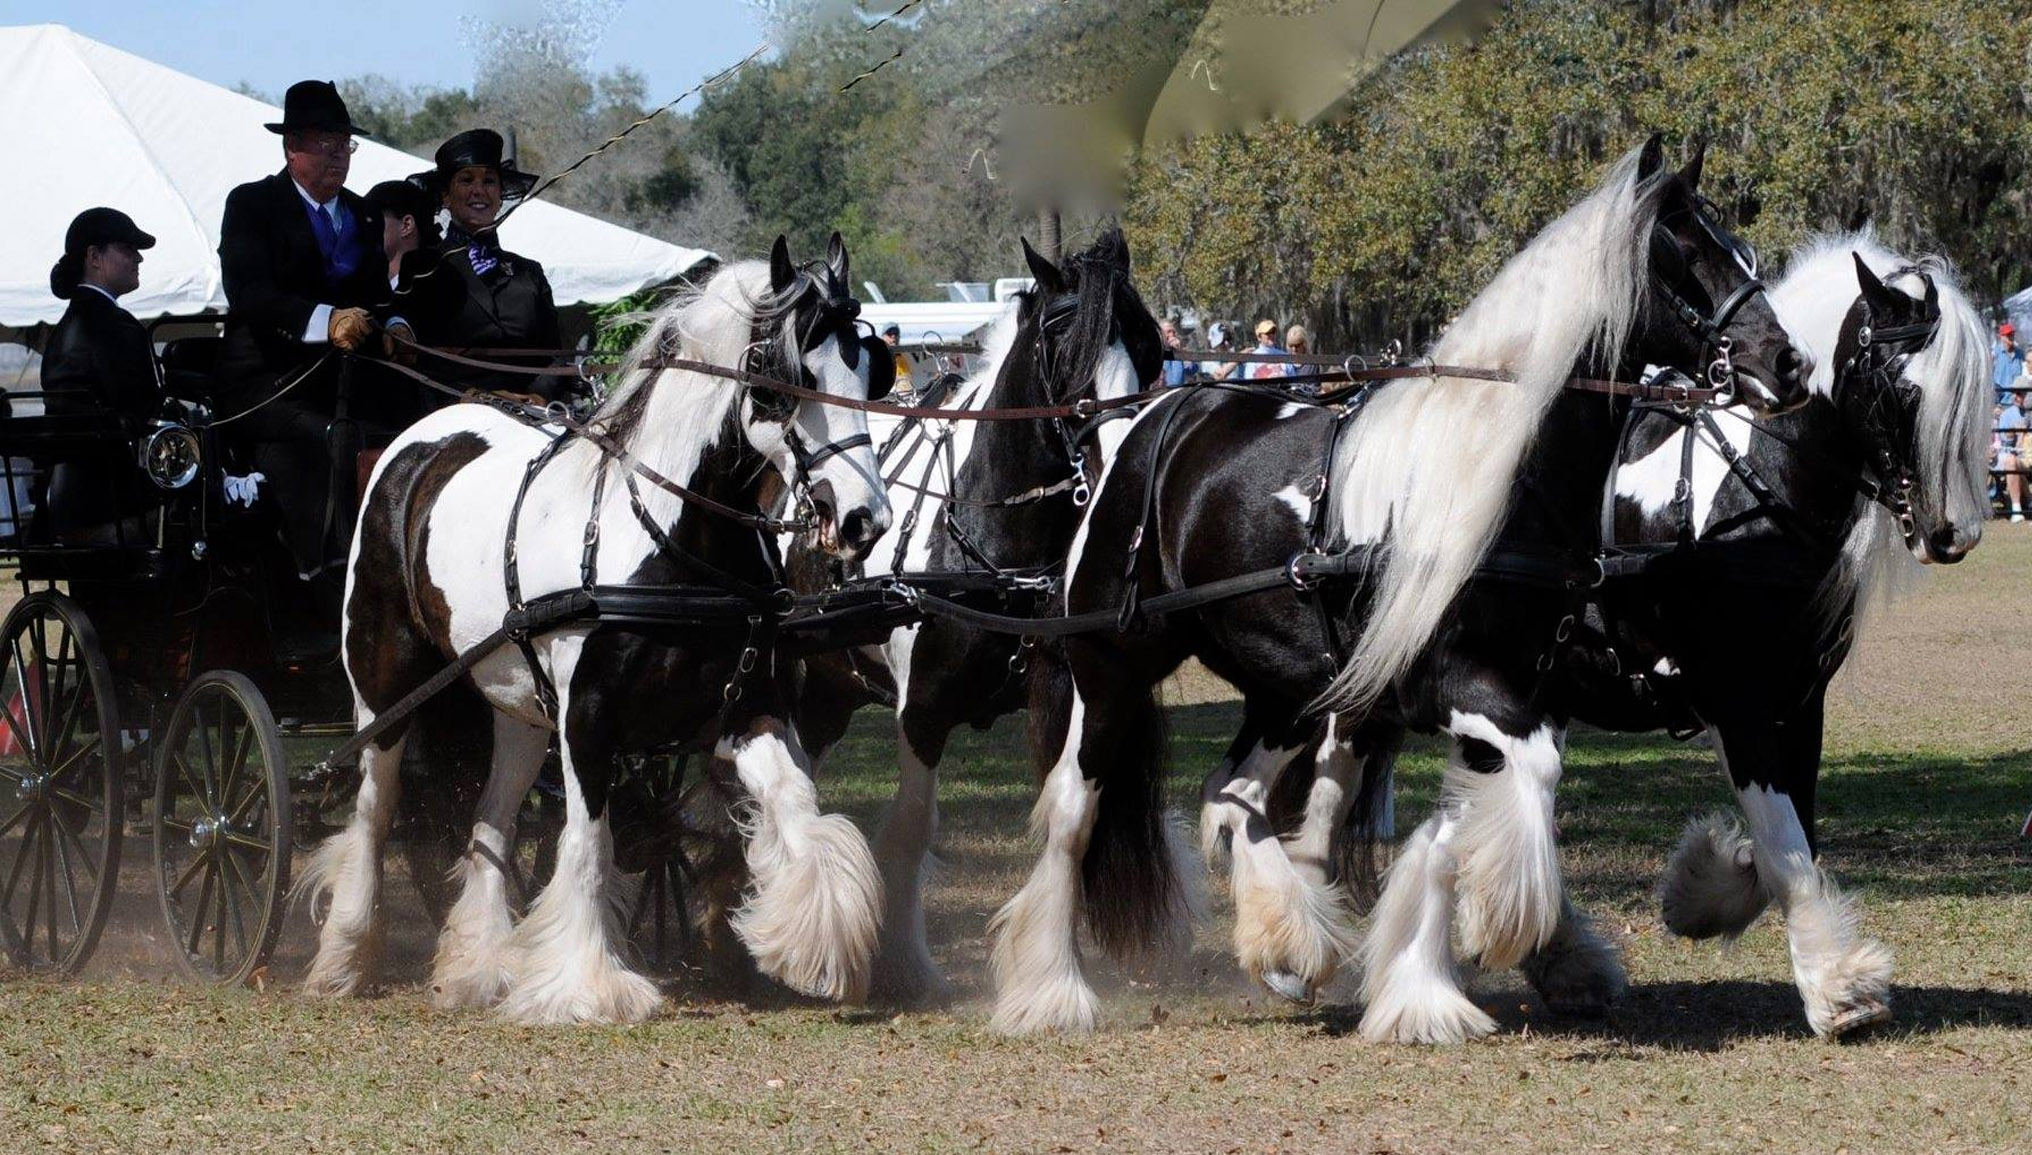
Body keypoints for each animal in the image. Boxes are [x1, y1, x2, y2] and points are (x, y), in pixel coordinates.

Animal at [788, 232, 1162, 1000]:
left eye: (1149, 341)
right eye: (1063, 339)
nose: (1121, 455)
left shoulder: (1072, 692)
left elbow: (1070, 815)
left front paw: (1052, 977)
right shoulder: (922, 710)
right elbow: (910, 830)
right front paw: (904, 966)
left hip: (830, 691)